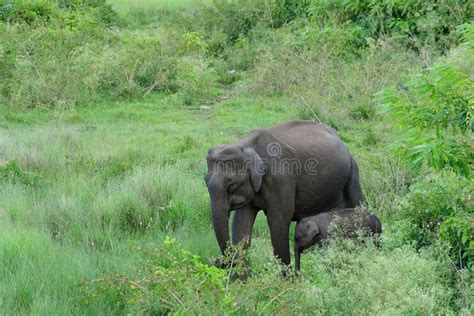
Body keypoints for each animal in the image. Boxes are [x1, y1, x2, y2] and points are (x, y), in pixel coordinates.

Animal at [203, 119, 362, 268]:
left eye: (232, 185)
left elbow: (278, 223)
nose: (219, 262)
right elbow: (241, 225)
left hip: (352, 172)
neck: (245, 145)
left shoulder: (281, 179)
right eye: (205, 181)